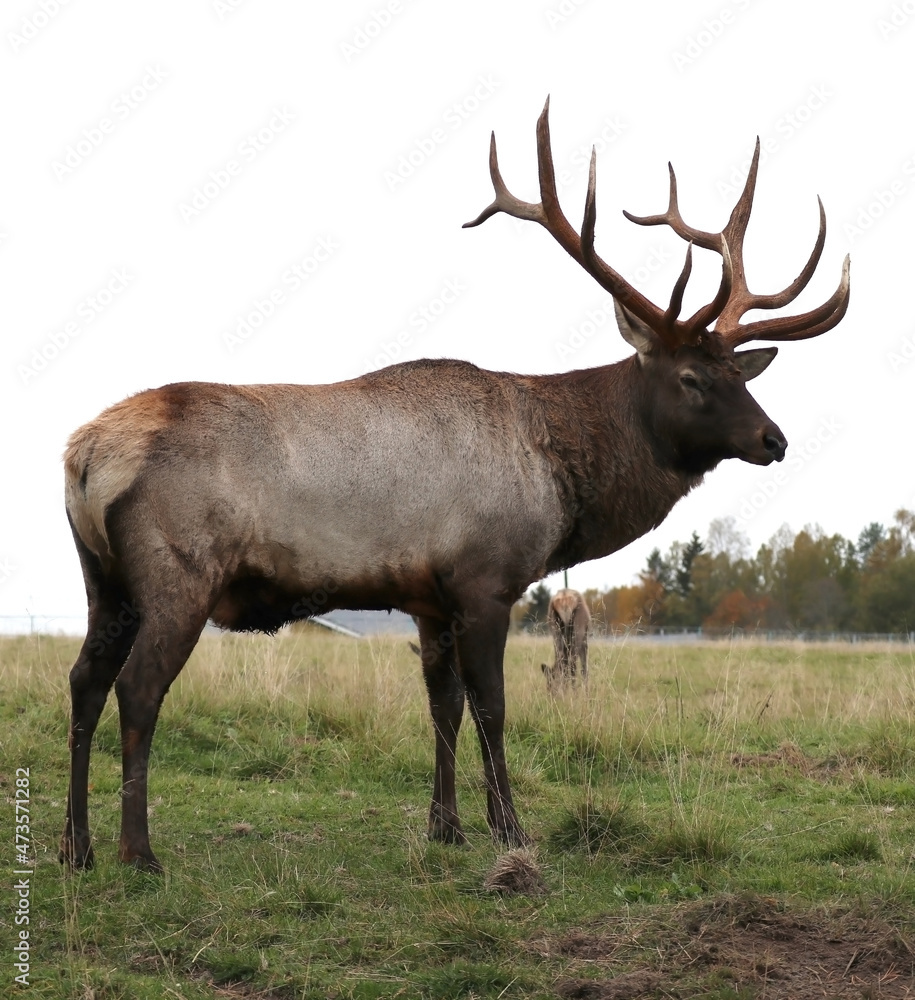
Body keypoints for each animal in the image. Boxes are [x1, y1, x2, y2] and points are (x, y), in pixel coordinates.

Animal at [60, 97, 852, 872]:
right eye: (691, 377)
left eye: (737, 373)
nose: (773, 440)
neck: (561, 481)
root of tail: (84, 453)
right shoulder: (484, 579)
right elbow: (491, 707)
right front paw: (510, 829)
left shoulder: (426, 596)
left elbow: (440, 706)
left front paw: (446, 827)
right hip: (180, 571)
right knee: (138, 687)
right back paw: (138, 852)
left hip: (103, 579)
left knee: (83, 680)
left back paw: (77, 847)